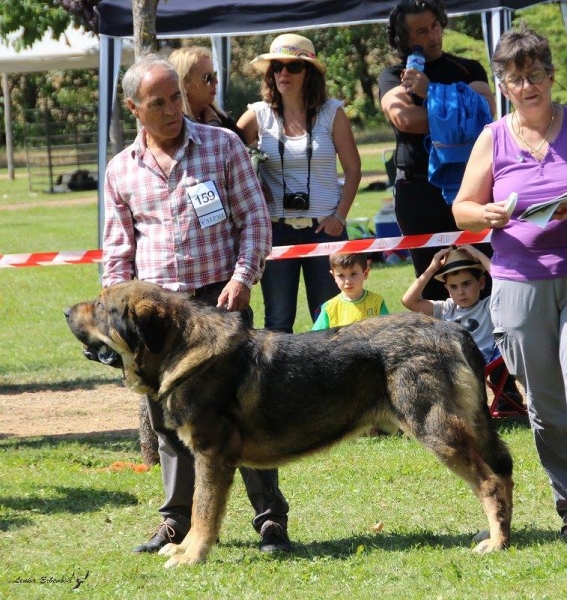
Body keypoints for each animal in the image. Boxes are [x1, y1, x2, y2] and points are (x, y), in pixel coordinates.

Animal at [66, 278, 516, 564]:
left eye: (102, 307)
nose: (67, 310)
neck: (183, 350)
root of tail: (452, 330)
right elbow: (198, 511)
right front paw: (183, 548)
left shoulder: (211, 455)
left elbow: (203, 511)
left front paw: (192, 556)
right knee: (504, 471)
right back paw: (502, 534)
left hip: (436, 430)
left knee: (490, 482)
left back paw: (495, 543)